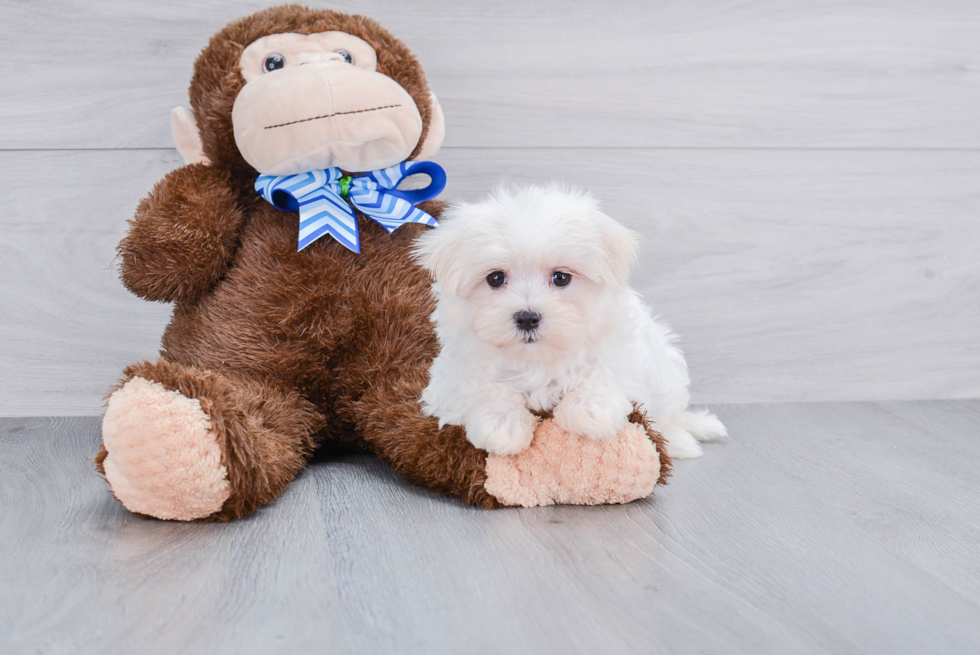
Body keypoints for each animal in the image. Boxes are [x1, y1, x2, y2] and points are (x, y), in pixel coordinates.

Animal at [410, 184, 724, 458]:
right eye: (495, 278)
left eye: (561, 277)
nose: (527, 317)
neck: (536, 358)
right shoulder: (452, 377)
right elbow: (481, 387)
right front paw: (502, 425)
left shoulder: (623, 352)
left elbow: (605, 373)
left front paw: (589, 411)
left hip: (666, 370)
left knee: (668, 417)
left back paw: (680, 441)